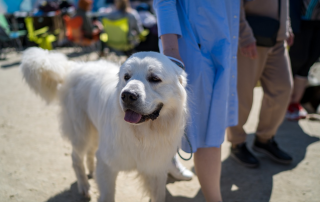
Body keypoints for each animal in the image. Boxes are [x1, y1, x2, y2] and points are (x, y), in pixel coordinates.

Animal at [20, 47, 189, 202]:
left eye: (154, 78)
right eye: (126, 77)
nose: (127, 95)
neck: (142, 134)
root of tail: (75, 67)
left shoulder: (156, 168)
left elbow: (159, 195)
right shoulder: (108, 165)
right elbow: (108, 195)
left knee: (91, 152)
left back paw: (92, 171)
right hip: (82, 132)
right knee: (76, 158)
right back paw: (84, 186)